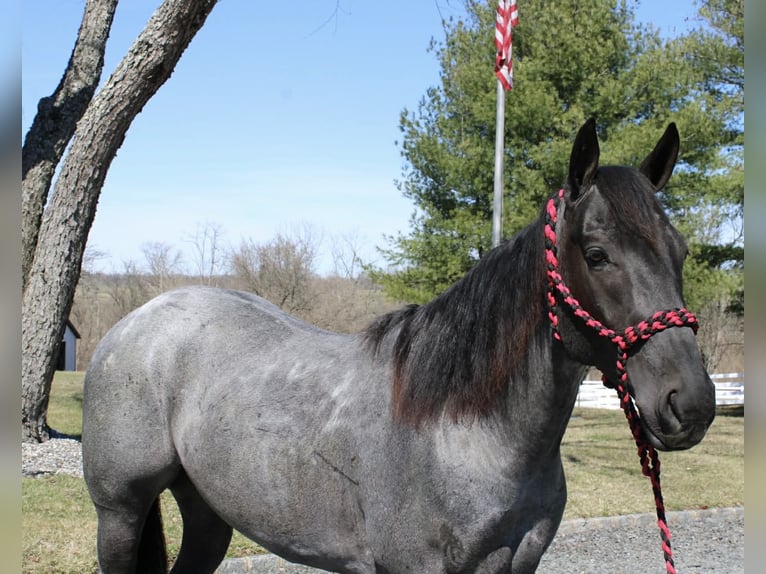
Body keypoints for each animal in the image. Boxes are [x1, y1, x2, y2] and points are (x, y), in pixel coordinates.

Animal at [82, 118, 716, 574]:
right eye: (597, 254)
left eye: (681, 251)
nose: (691, 403)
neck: (464, 429)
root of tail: (137, 321)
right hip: (120, 511)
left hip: (209, 509)